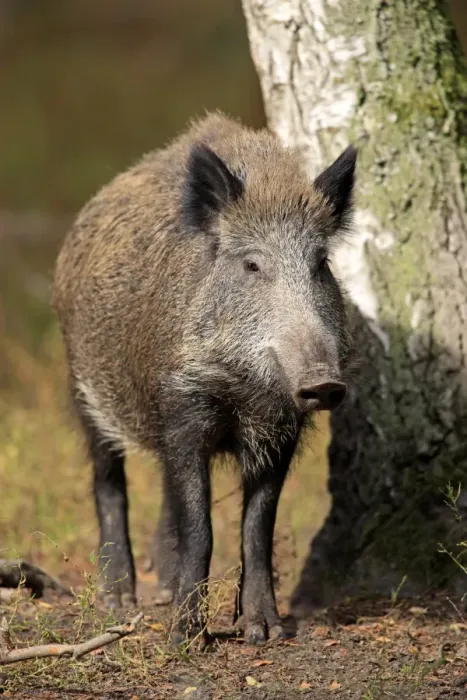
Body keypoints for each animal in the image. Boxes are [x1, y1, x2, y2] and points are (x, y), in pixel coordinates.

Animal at [51, 112, 356, 646]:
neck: (247, 392)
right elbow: (201, 526)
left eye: (321, 264)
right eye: (251, 263)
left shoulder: (281, 433)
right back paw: (119, 599)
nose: (323, 382)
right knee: (108, 479)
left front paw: (265, 632)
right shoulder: (182, 407)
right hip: (83, 385)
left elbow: (257, 528)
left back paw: (162, 588)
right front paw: (185, 639)